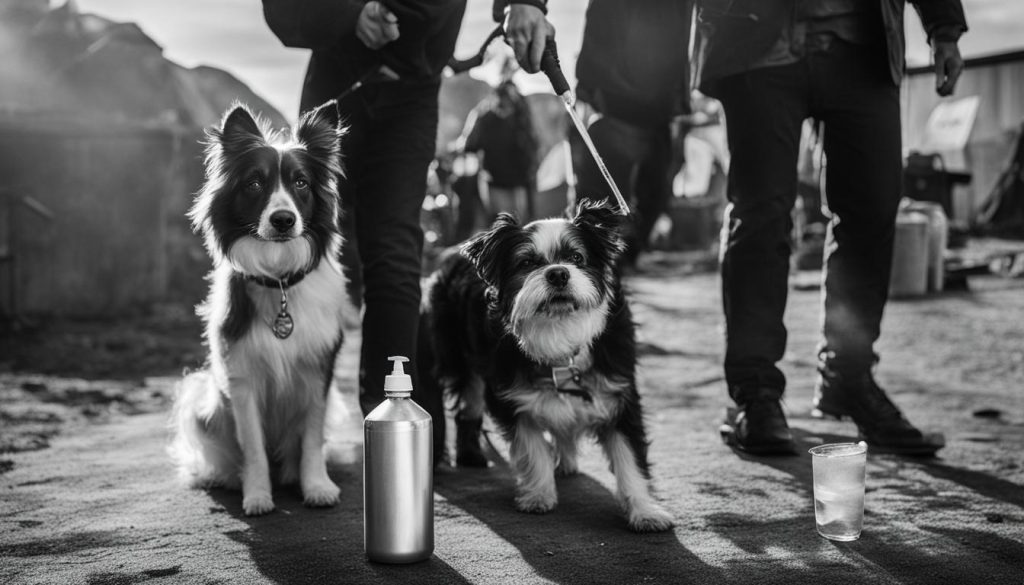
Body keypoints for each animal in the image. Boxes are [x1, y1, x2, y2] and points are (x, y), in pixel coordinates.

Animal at [169, 101, 354, 516]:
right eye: (255, 183)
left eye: (301, 183)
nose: (283, 220)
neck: (280, 277)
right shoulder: (241, 379)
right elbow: (252, 447)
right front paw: (256, 495)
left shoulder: (318, 372)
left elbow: (312, 438)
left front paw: (316, 486)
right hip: (202, 402)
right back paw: (221, 476)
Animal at [415, 202, 671, 536]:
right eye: (526, 262)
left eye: (577, 258)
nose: (558, 273)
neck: (560, 333)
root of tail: (450, 252)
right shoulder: (512, 398)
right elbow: (532, 447)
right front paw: (538, 495)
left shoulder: (620, 396)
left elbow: (630, 459)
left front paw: (645, 512)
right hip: (458, 357)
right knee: (468, 403)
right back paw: (471, 455)